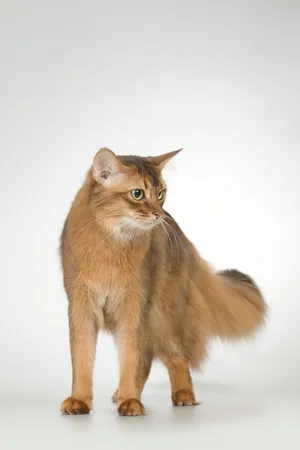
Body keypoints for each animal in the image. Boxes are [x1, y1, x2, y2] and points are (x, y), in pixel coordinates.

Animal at [59, 149, 266, 416]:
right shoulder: (80, 305)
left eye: (161, 194)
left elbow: (130, 357)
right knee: (148, 359)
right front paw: (80, 400)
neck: (110, 242)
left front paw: (131, 401)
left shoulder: (134, 305)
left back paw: (182, 395)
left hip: (163, 313)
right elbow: (82, 358)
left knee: (176, 357)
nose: (157, 214)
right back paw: (122, 394)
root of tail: (179, 232)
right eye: (137, 193)